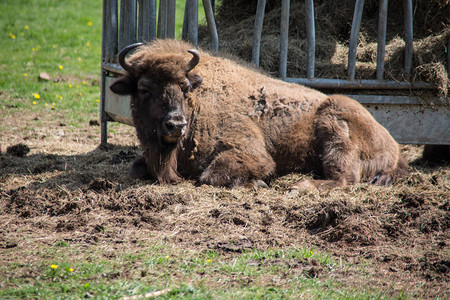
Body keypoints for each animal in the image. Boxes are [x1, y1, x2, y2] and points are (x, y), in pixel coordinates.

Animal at [110, 39, 408, 190]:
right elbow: (135, 169)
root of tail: (393, 146)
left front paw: (259, 183)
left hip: (334, 125)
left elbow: (210, 176)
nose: (176, 125)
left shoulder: (247, 151)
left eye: (184, 88)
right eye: (144, 89)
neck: (198, 104)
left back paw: (299, 186)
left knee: (344, 178)